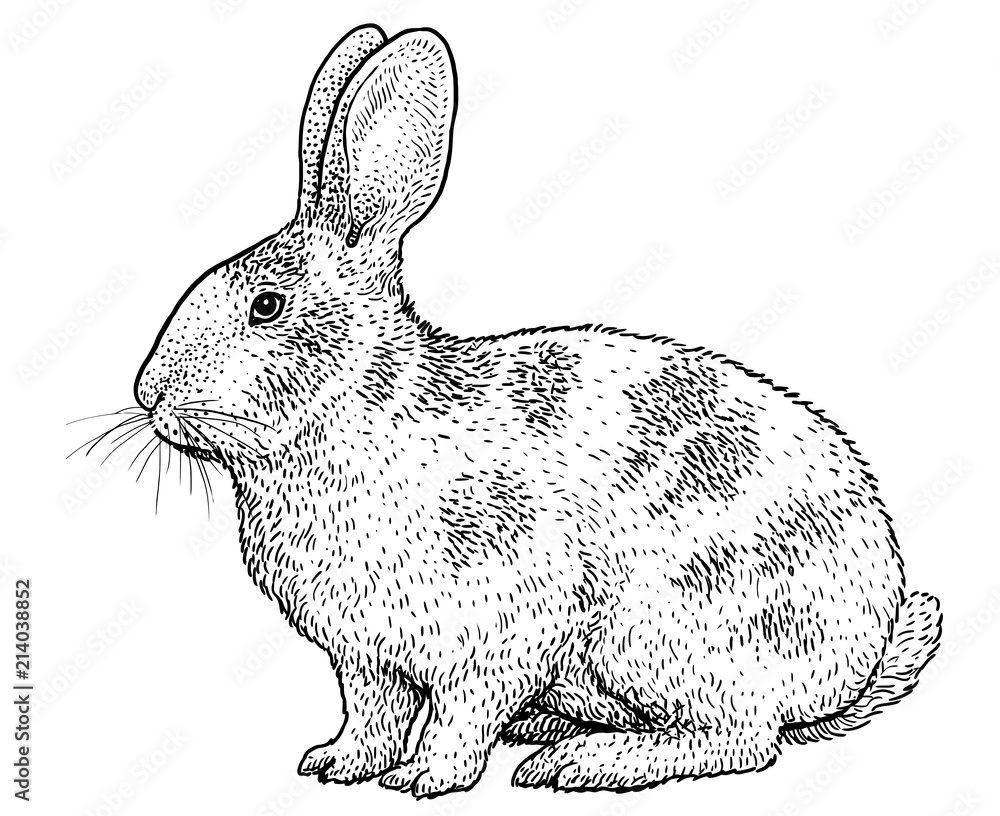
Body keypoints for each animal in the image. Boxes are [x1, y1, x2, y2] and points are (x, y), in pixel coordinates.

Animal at [132, 24, 942, 797]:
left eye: (266, 307)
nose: (151, 396)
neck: (356, 412)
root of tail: (859, 660)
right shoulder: (365, 655)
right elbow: (372, 712)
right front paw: (338, 763)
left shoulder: (499, 623)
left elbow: (464, 710)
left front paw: (428, 778)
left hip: (663, 636)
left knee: (737, 739)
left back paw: (585, 762)